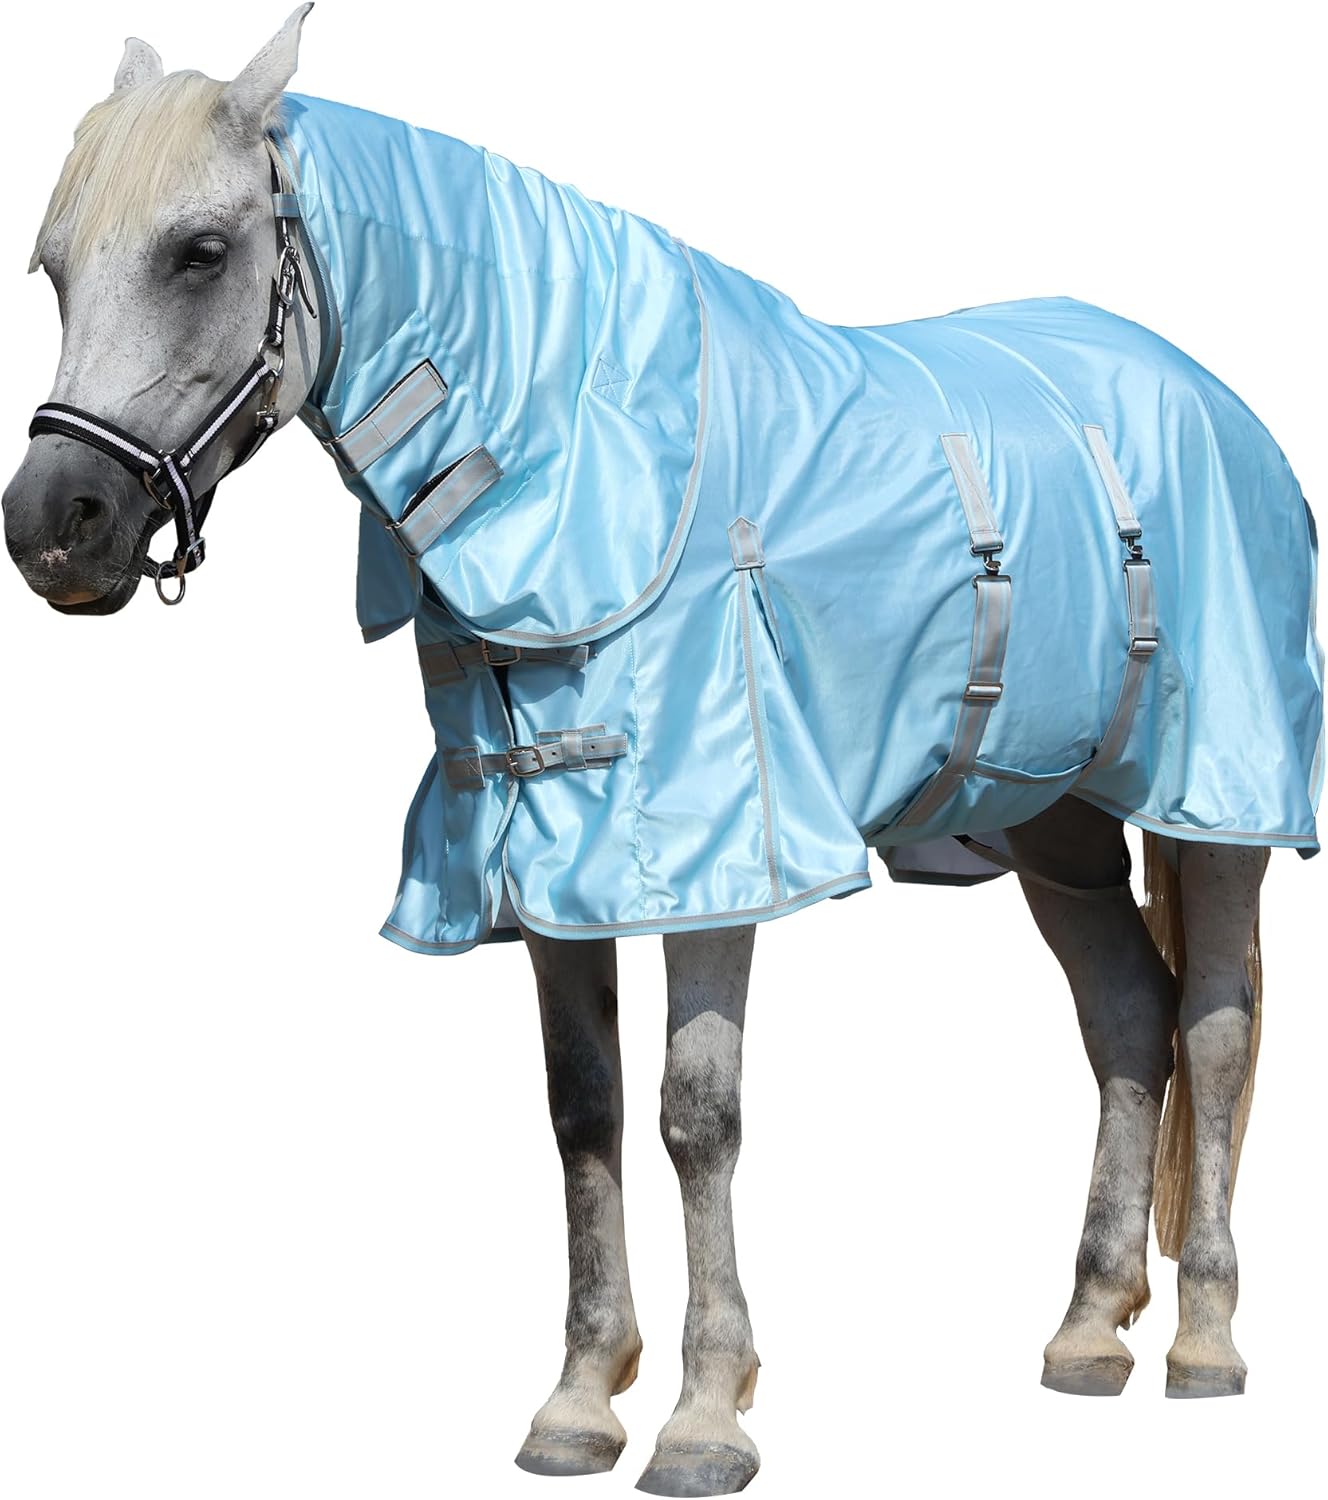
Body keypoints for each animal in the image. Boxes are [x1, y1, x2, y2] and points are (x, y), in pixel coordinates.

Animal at [2, 9, 1321, 1496]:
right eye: (54, 266)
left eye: (200, 251)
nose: (55, 526)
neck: (575, 451)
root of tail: (1216, 400)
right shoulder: (541, 867)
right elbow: (582, 1110)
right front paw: (580, 1399)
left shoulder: (717, 859)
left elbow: (697, 1116)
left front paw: (704, 1414)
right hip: (1057, 821)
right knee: (1127, 1018)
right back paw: (1090, 1328)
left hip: (1216, 800)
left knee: (1214, 1024)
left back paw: (1203, 1340)